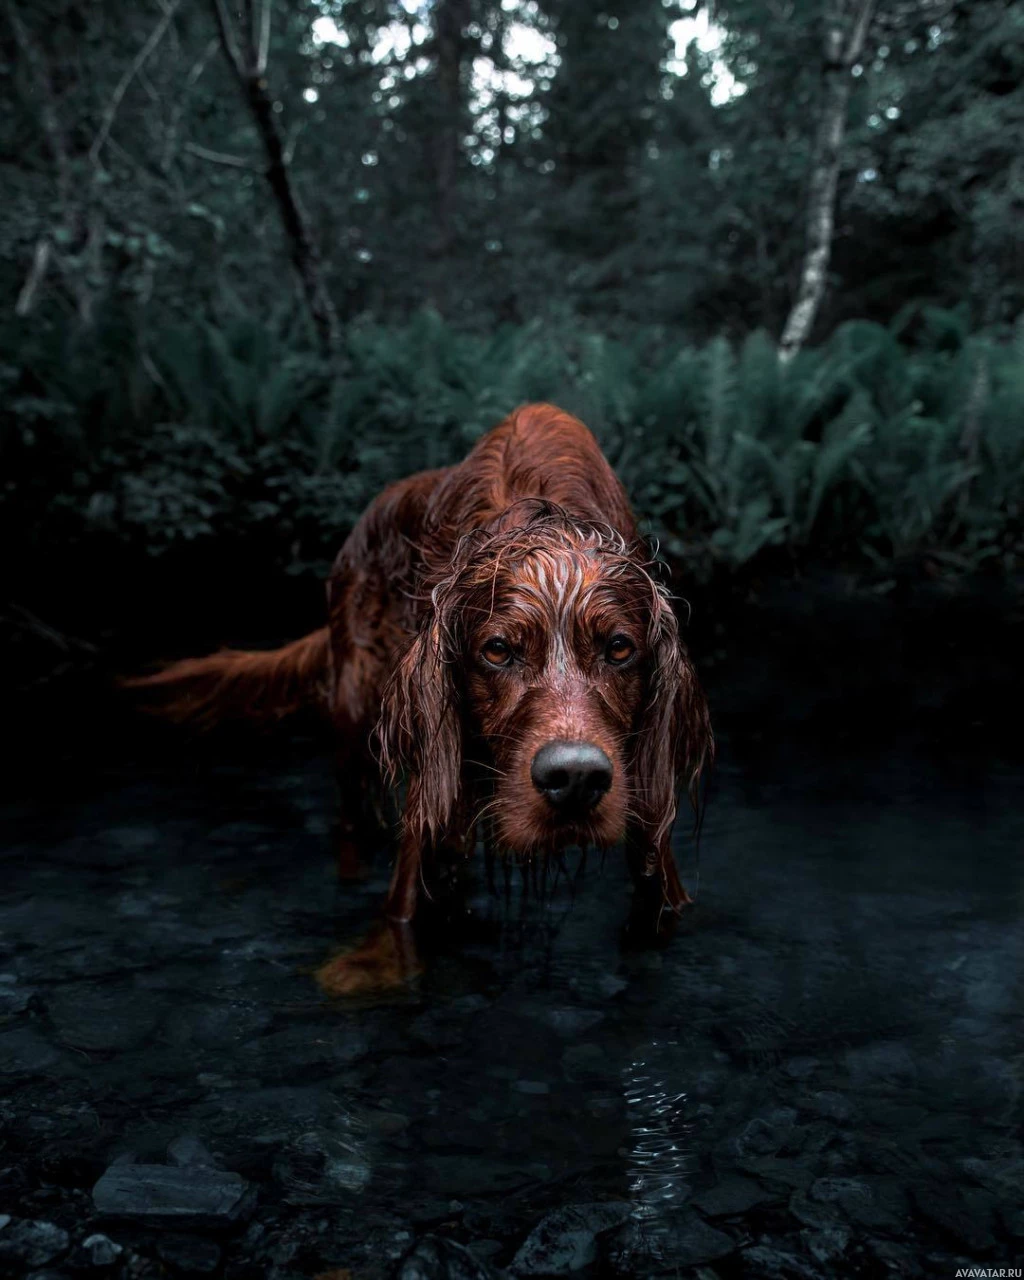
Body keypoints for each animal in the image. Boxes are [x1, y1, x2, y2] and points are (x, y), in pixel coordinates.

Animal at [131, 401, 711, 962]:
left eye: (620, 648)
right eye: (497, 650)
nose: (575, 779)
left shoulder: (652, 828)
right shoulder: (428, 804)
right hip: (354, 716)